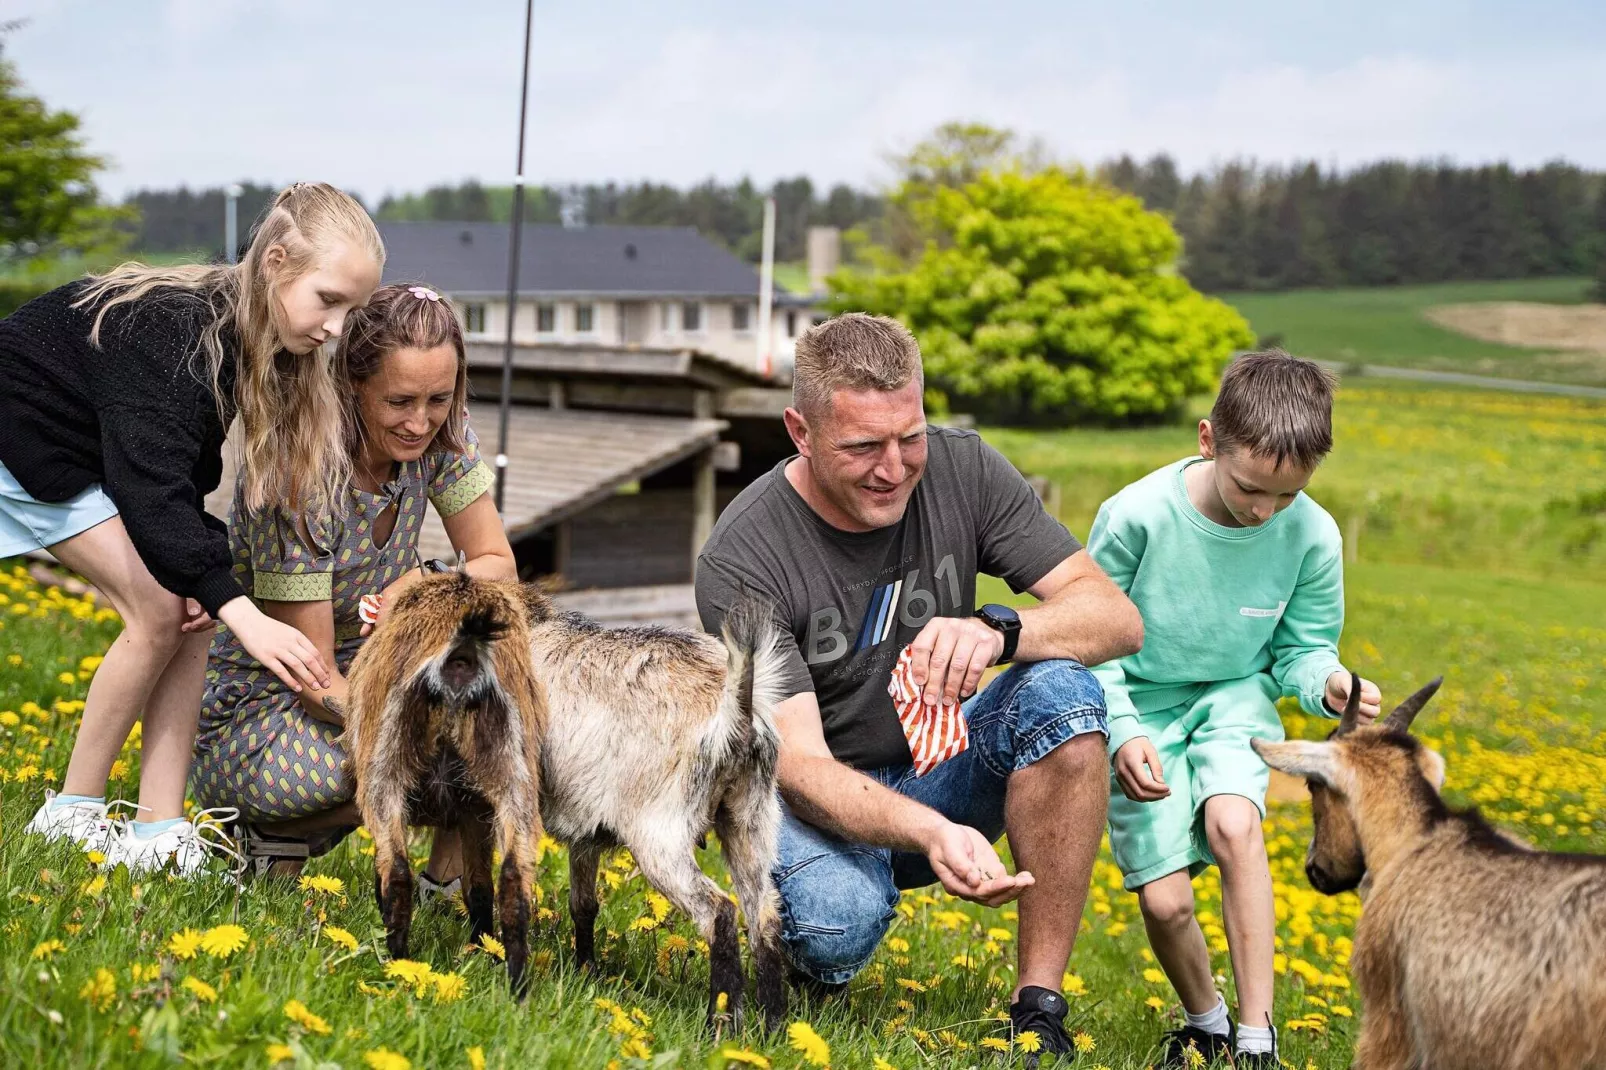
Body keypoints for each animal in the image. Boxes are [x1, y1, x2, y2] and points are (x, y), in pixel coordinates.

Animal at [338, 571, 546, 996]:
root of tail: (463, 653)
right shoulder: (473, 810)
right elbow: (478, 887)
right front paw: (481, 946)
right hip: (513, 780)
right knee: (514, 880)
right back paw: (516, 986)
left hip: (384, 770)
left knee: (397, 872)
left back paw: (397, 962)